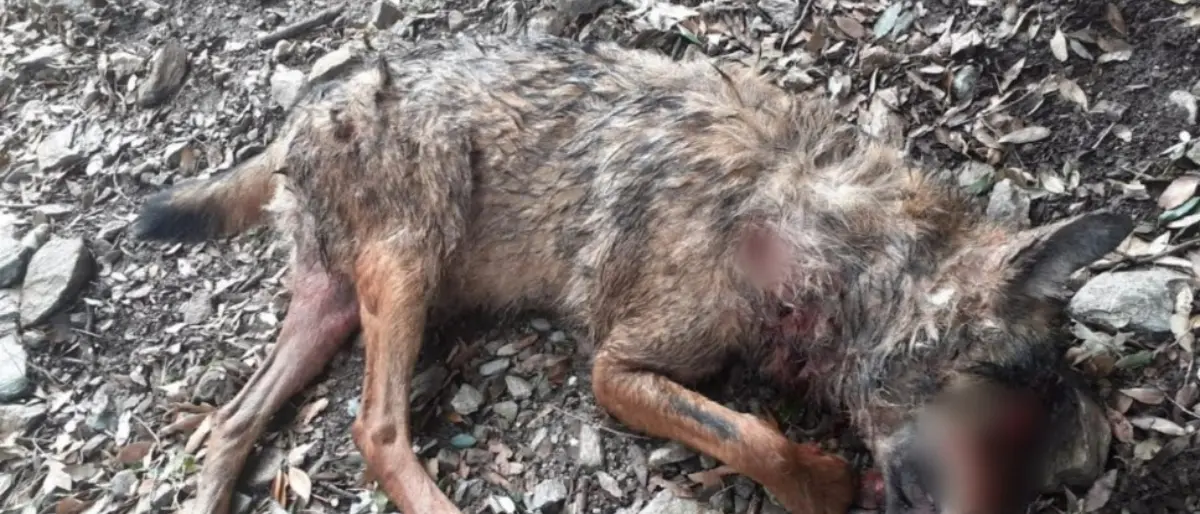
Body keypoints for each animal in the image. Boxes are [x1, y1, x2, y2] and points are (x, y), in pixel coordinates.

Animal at [132, 32, 1130, 514]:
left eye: (1045, 480)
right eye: (1006, 430)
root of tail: (300, 113)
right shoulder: (614, 369)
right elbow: (754, 437)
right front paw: (823, 484)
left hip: (339, 304)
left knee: (230, 421)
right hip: (412, 254)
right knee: (375, 429)